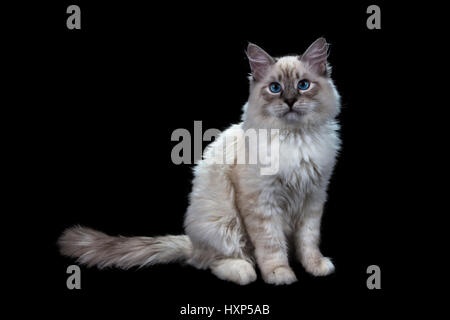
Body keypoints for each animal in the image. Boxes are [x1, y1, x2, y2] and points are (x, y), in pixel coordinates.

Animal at [59, 37, 342, 284]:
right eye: (275, 88)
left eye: (303, 85)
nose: (291, 100)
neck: (295, 140)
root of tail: (193, 243)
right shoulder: (262, 203)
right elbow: (271, 246)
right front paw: (280, 274)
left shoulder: (314, 197)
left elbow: (308, 241)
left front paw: (316, 266)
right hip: (223, 222)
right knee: (216, 260)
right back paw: (243, 271)